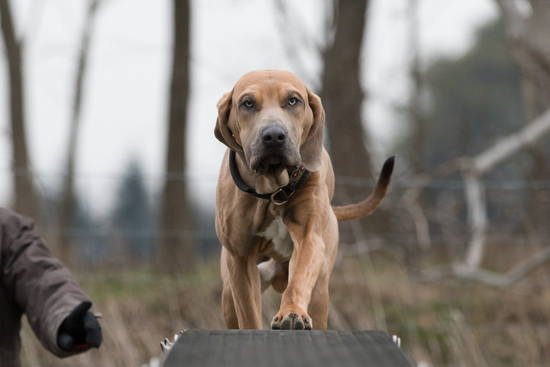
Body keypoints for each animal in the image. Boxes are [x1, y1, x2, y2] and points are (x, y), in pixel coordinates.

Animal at [216, 69, 396, 330]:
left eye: (293, 101)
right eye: (247, 103)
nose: (274, 136)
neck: (274, 190)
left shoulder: (309, 238)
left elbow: (299, 280)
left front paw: (292, 312)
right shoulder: (240, 260)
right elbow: (248, 314)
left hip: (321, 289)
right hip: (230, 293)